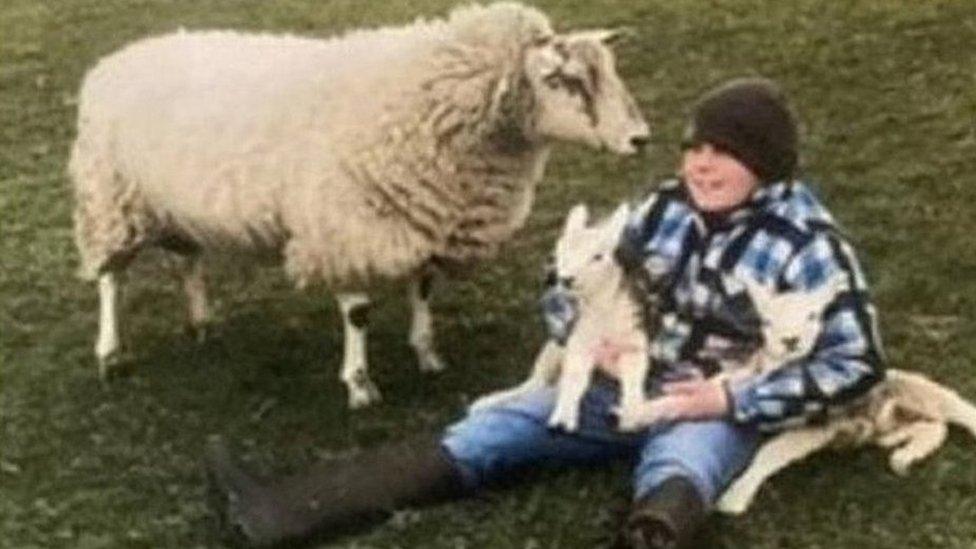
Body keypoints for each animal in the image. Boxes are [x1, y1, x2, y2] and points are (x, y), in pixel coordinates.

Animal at [68, 1, 648, 406]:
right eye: (563, 79)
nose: (640, 139)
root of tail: (116, 60)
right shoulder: (343, 227)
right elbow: (359, 313)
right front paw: (360, 385)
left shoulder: (424, 217)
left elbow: (423, 289)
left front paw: (428, 354)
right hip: (109, 199)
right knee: (111, 279)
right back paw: (110, 354)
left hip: (171, 205)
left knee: (186, 261)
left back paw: (201, 324)